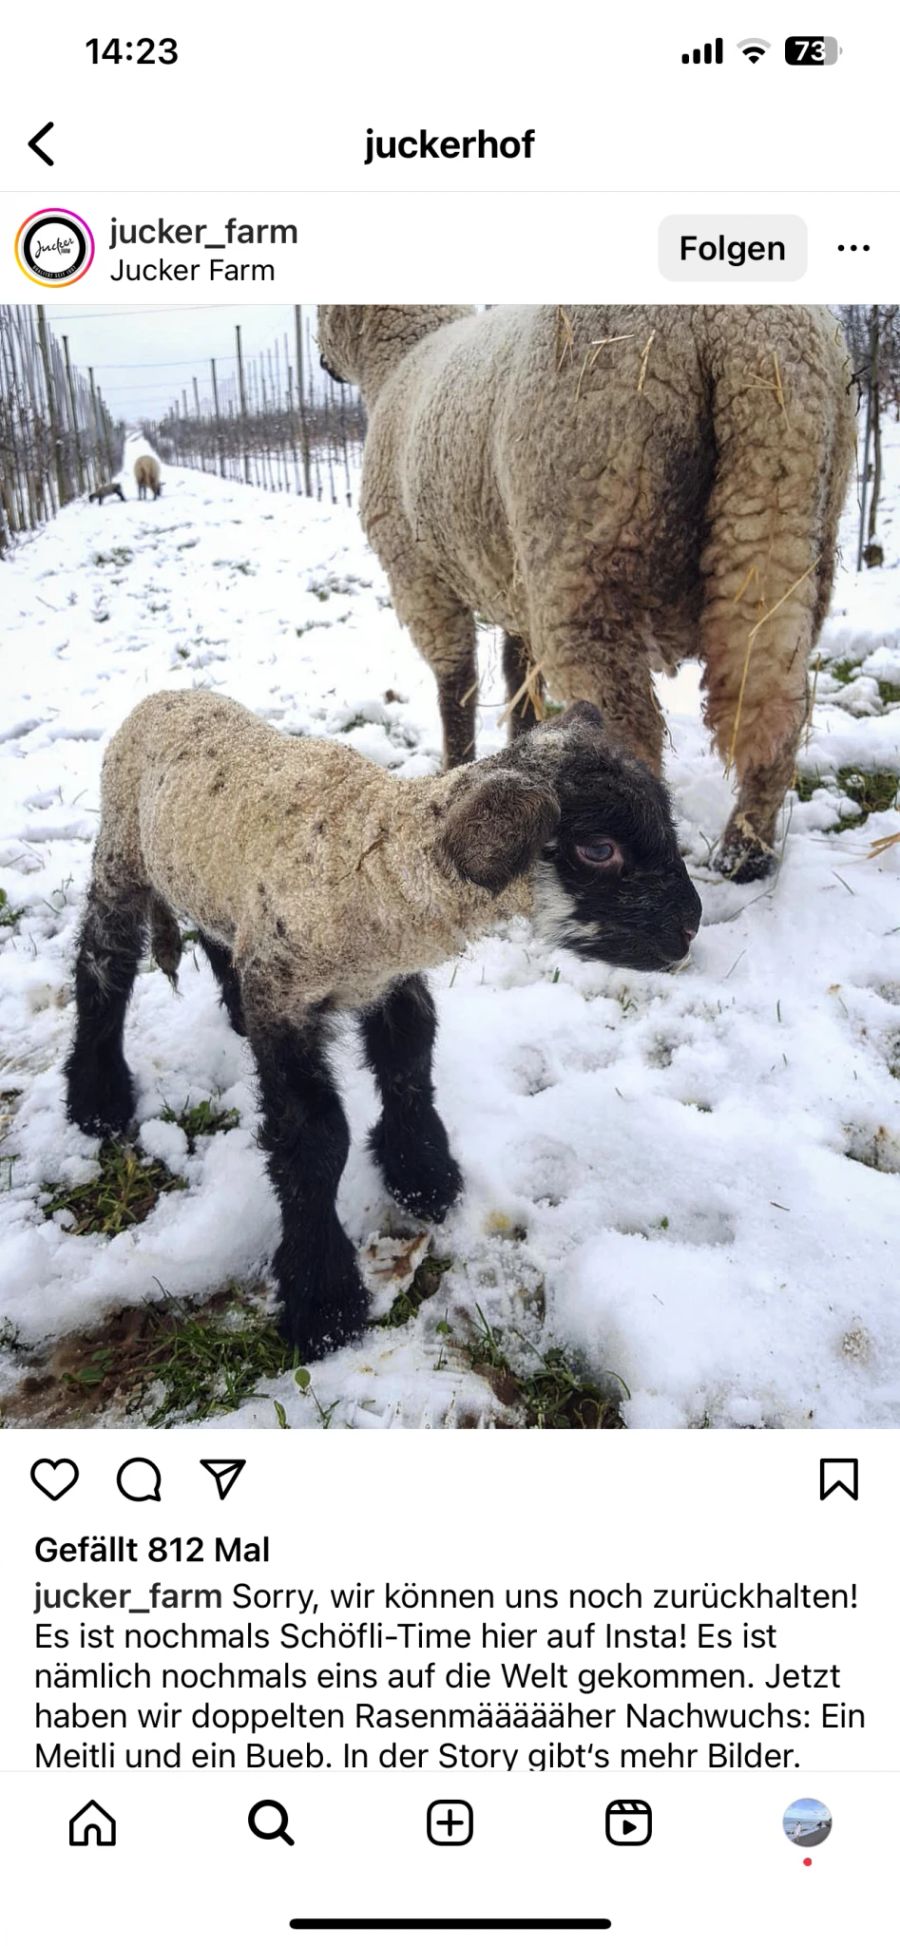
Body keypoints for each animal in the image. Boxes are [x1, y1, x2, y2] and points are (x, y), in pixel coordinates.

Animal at [65, 696, 701, 1354]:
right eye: (599, 850)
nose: (691, 928)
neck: (380, 872)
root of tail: (164, 697)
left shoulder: (383, 982)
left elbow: (408, 1063)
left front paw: (422, 1174)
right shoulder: (285, 997)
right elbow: (314, 1139)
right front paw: (324, 1303)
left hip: (208, 878)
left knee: (215, 936)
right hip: (120, 853)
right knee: (102, 968)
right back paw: (98, 1100)